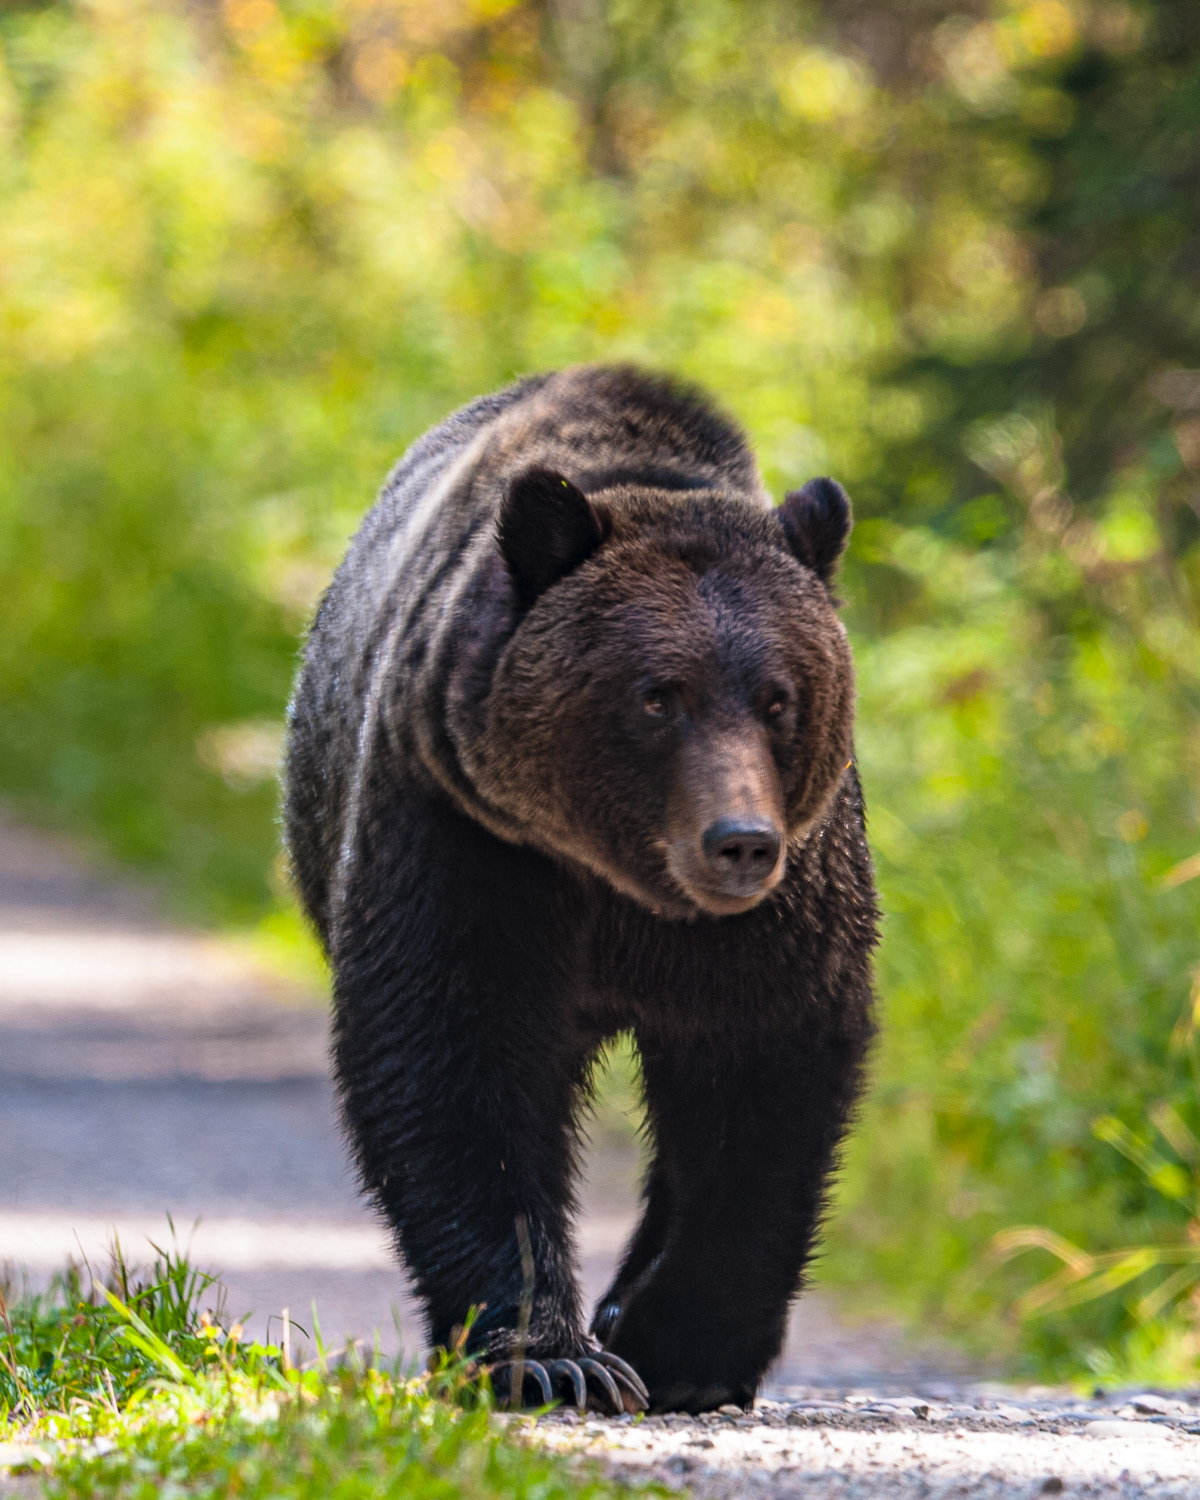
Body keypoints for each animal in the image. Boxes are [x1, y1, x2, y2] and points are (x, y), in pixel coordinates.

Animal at [284, 364, 878, 1414]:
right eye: (658, 694)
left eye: (779, 697)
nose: (740, 842)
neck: (626, 887)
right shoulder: (471, 836)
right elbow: (454, 1059)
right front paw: (551, 1356)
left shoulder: (784, 908)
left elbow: (761, 1086)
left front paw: (677, 1346)